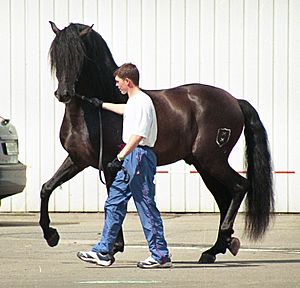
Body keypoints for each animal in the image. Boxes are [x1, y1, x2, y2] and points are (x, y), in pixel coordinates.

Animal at [40, 22, 274, 264]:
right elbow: (46, 187)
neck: (94, 111)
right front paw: (51, 235)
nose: (64, 94)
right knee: (224, 198)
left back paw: (224, 239)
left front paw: (111, 249)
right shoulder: (78, 160)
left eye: (80, 57)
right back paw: (215, 249)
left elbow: (112, 204)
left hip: (212, 161)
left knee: (239, 186)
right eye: (57, 56)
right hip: (205, 165)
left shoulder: (109, 164)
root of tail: (235, 101)